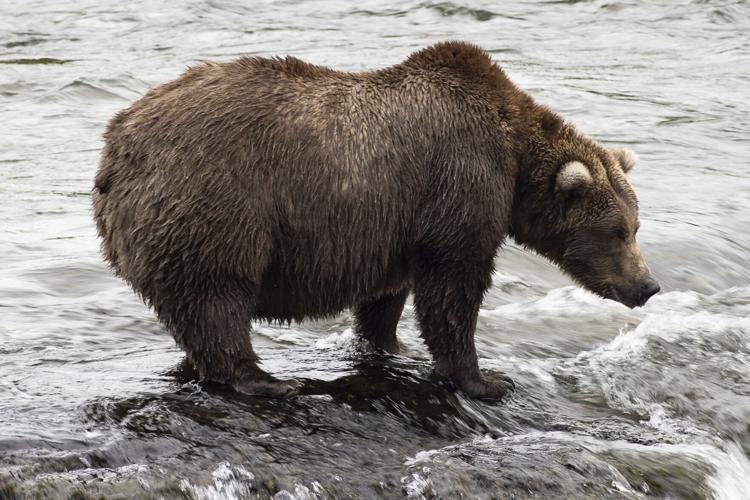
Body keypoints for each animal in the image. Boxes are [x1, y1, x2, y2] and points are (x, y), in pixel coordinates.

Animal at [92, 41, 659, 399]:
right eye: (616, 232)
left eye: (635, 227)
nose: (648, 285)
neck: (515, 157)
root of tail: (114, 148)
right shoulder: (461, 185)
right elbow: (454, 289)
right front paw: (487, 379)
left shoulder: (397, 224)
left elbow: (387, 294)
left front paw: (392, 345)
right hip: (215, 202)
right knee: (218, 296)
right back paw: (267, 380)